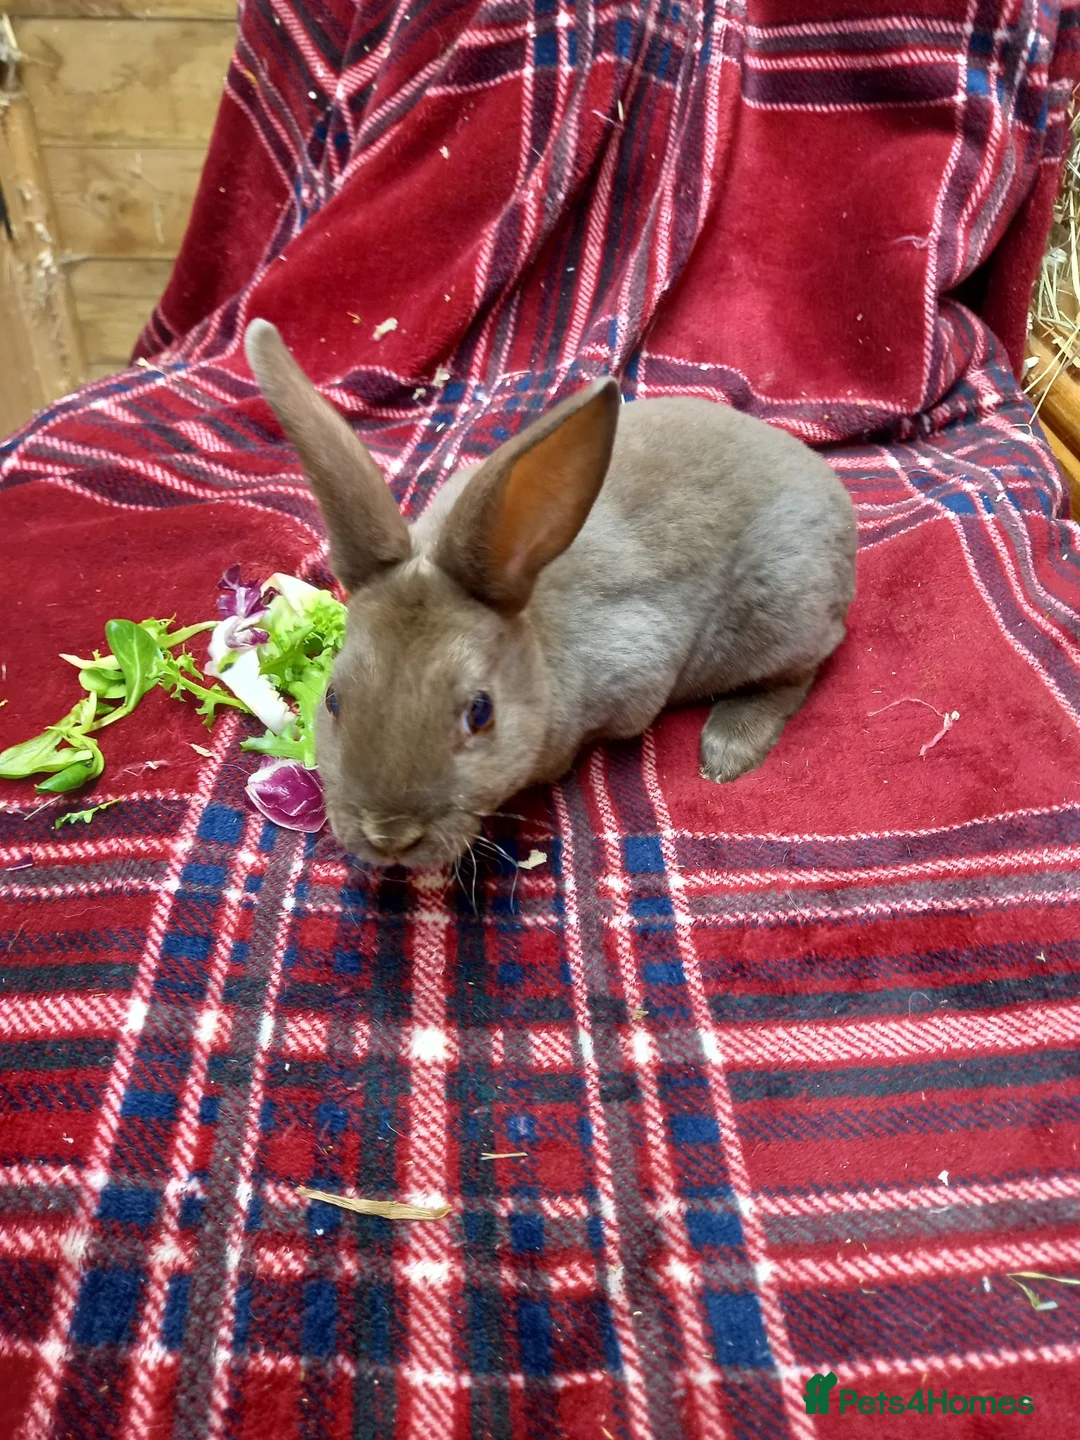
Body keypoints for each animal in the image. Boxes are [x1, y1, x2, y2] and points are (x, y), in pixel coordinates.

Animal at [244, 319, 856, 869]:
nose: (388, 837)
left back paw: (727, 750)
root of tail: (833, 494)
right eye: (333, 699)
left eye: (480, 713)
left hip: (780, 608)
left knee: (802, 669)